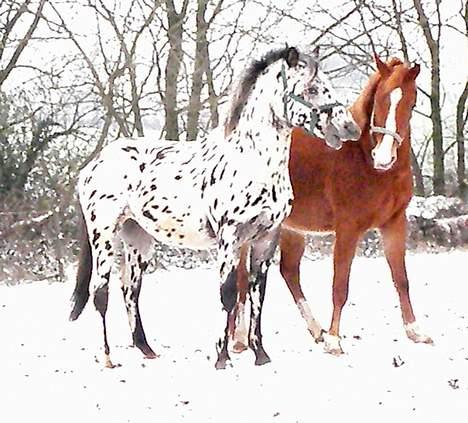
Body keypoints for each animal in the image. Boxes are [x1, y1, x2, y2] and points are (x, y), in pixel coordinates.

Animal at [68, 46, 358, 370]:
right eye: (311, 88)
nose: (350, 128)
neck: (251, 160)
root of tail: (94, 163)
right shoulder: (229, 238)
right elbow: (228, 293)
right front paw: (221, 357)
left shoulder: (266, 239)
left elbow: (258, 294)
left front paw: (261, 355)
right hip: (104, 235)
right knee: (100, 291)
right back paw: (107, 357)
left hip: (138, 237)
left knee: (130, 290)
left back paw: (147, 349)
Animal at [232, 54, 434, 356]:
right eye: (381, 98)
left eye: (411, 103)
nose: (383, 157)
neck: (365, 161)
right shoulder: (348, 229)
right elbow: (340, 285)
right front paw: (335, 340)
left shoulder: (394, 224)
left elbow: (401, 280)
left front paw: (415, 331)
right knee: (244, 279)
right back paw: (239, 339)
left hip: (292, 229)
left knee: (289, 273)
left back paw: (316, 330)